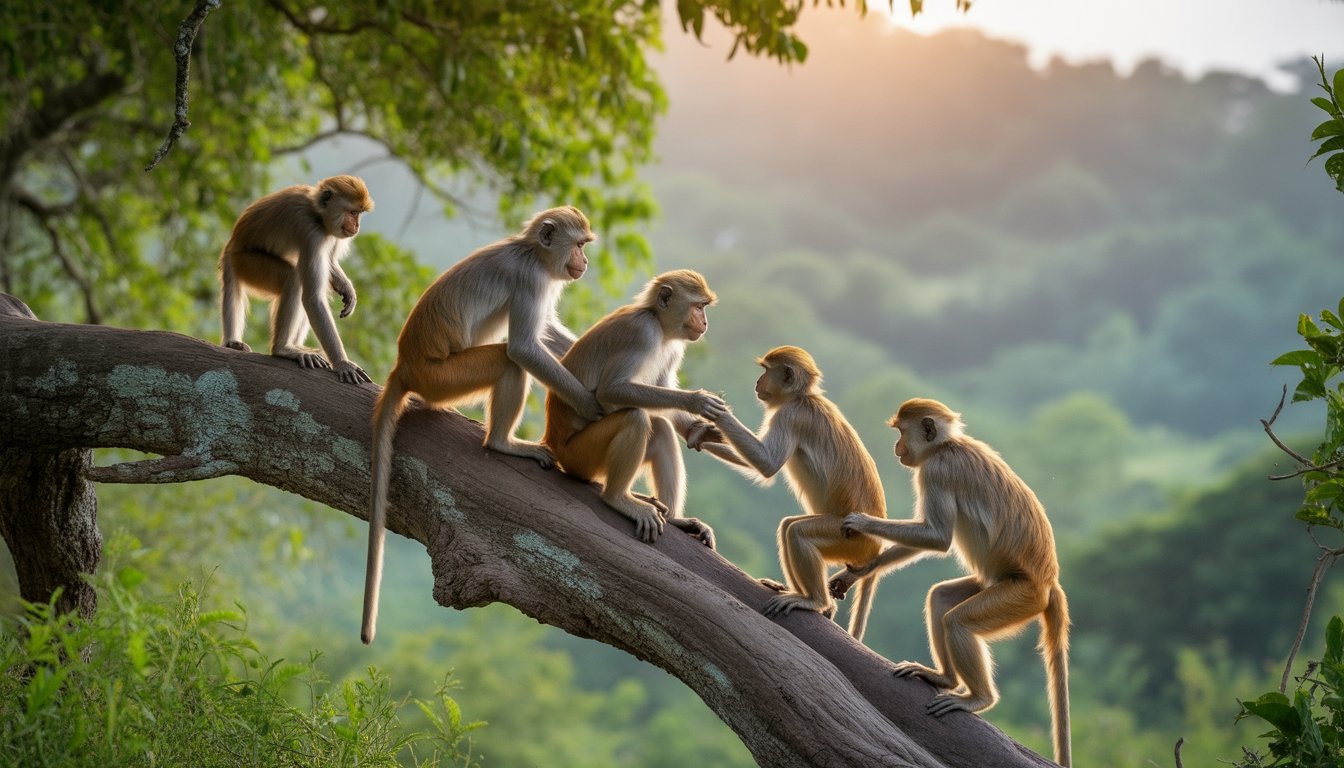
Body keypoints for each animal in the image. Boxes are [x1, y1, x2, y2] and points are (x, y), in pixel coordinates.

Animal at [219, 174, 375, 384]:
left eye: (359, 213)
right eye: (353, 212)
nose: (357, 226)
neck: (317, 213)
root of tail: (232, 244)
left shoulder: (329, 234)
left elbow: (329, 261)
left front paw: (346, 288)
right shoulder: (312, 233)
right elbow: (312, 299)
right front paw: (343, 363)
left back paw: (296, 346)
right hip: (246, 263)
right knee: (293, 278)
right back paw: (283, 349)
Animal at [362, 205, 605, 645]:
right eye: (579, 245)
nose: (584, 262)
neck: (533, 253)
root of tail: (405, 365)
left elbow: (547, 333)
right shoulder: (531, 282)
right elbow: (524, 347)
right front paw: (590, 406)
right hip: (445, 376)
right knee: (508, 361)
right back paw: (502, 443)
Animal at [542, 269, 727, 548]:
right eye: (699, 307)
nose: (704, 323)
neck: (660, 327)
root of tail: (551, 438)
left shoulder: (673, 349)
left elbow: (662, 393)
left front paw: (698, 432)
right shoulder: (641, 332)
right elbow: (610, 390)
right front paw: (696, 401)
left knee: (659, 428)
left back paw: (674, 519)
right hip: (579, 456)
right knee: (635, 417)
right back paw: (617, 498)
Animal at [692, 346, 887, 639]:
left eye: (765, 371)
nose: (757, 382)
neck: (803, 397)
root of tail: (875, 547)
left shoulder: (791, 415)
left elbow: (768, 464)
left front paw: (718, 413)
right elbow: (766, 467)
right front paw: (701, 435)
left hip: (850, 539)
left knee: (797, 532)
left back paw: (815, 601)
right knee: (789, 527)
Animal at [830, 398, 1071, 767]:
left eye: (902, 433)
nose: (897, 447)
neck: (947, 446)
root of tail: (1048, 581)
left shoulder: (937, 470)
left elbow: (938, 537)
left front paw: (862, 523)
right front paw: (853, 573)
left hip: (1020, 595)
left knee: (958, 621)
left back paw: (978, 698)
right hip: (1001, 589)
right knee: (941, 598)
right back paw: (944, 678)